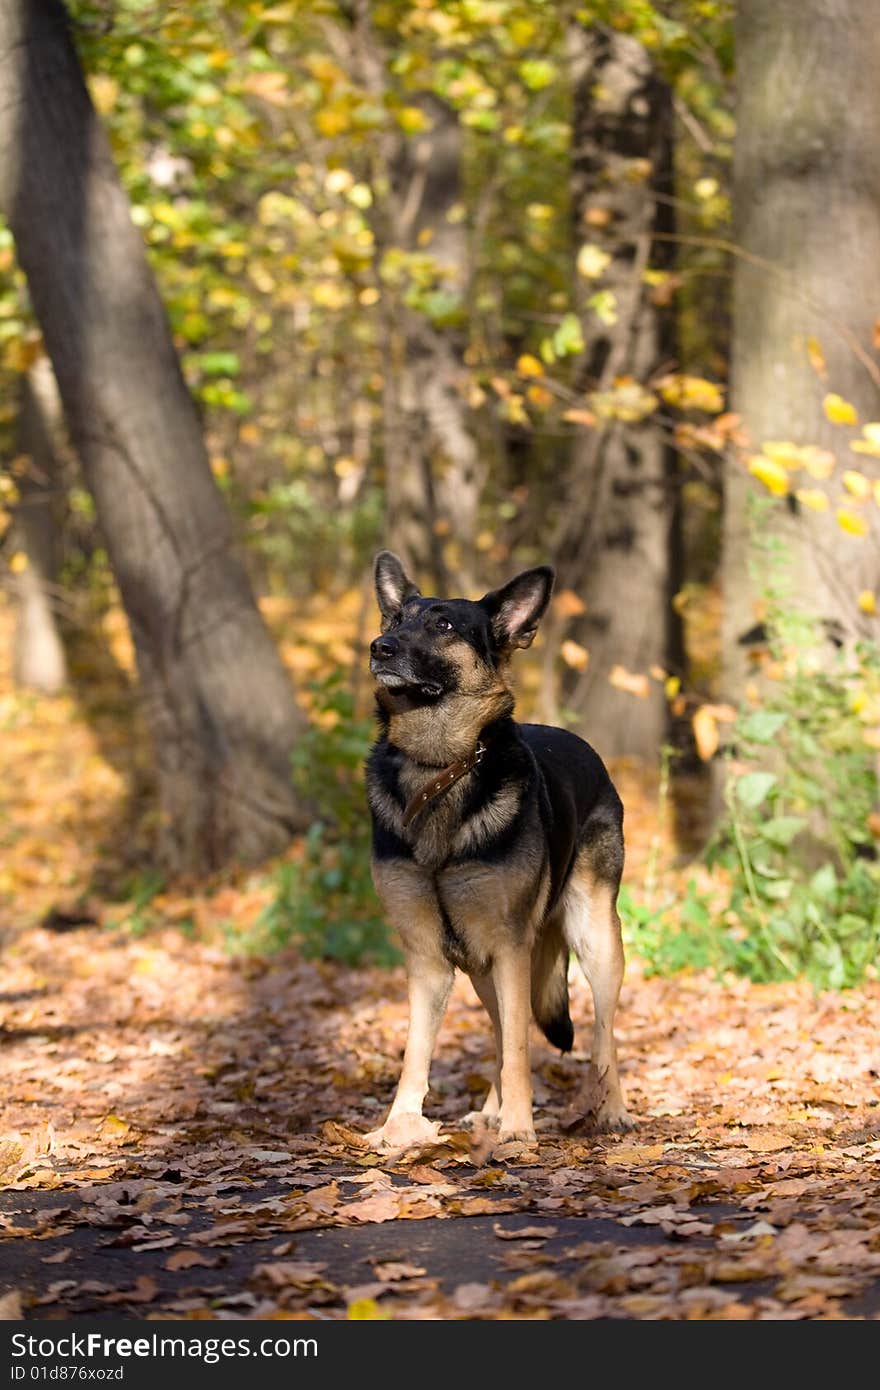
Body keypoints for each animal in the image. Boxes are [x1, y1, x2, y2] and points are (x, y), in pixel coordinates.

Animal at [364, 547, 631, 1145]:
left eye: (443, 625)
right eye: (395, 620)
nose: (379, 647)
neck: (439, 768)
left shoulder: (510, 946)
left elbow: (520, 1049)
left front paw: (518, 1129)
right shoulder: (427, 957)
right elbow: (418, 1053)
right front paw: (398, 1129)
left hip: (594, 939)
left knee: (601, 1034)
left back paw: (610, 1110)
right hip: (485, 966)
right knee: (503, 1030)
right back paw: (490, 1110)